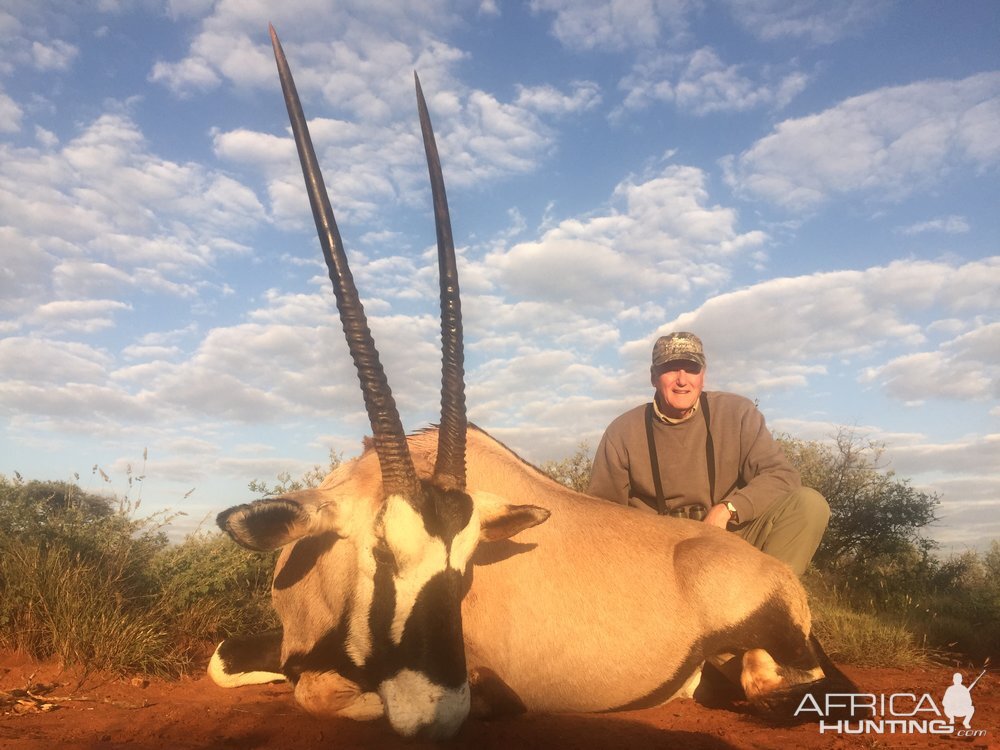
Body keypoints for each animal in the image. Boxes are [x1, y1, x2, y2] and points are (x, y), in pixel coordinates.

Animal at [211, 23, 860, 740]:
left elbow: (320, 692)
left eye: (467, 566)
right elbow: (227, 660)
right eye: (380, 553)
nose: (439, 714)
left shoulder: (484, 685)